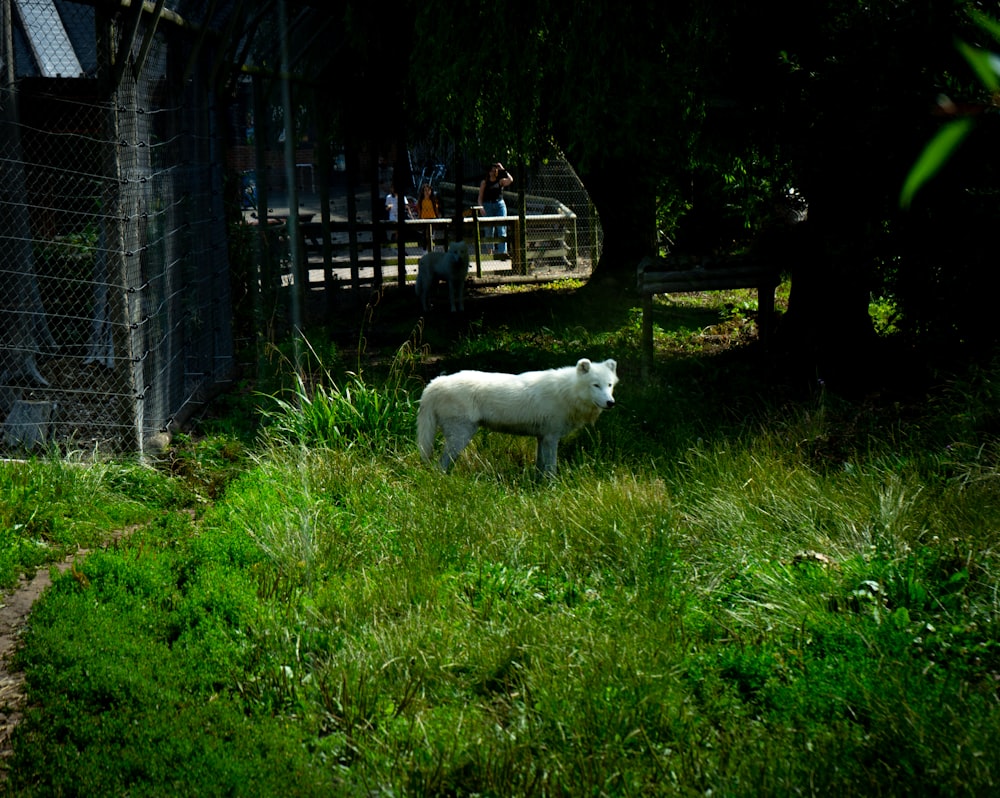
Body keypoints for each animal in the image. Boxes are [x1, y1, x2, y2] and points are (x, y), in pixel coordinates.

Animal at [416, 360, 616, 478]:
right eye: (595, 385)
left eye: (609, 385)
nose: (611, 402)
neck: (567, 391)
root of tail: (435, 382)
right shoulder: (551, 438)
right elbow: (551, 469)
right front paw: (552, 489)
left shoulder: (542, 438)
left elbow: (540, 467)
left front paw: (538, 486)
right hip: (460, 437)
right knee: (440, 466)